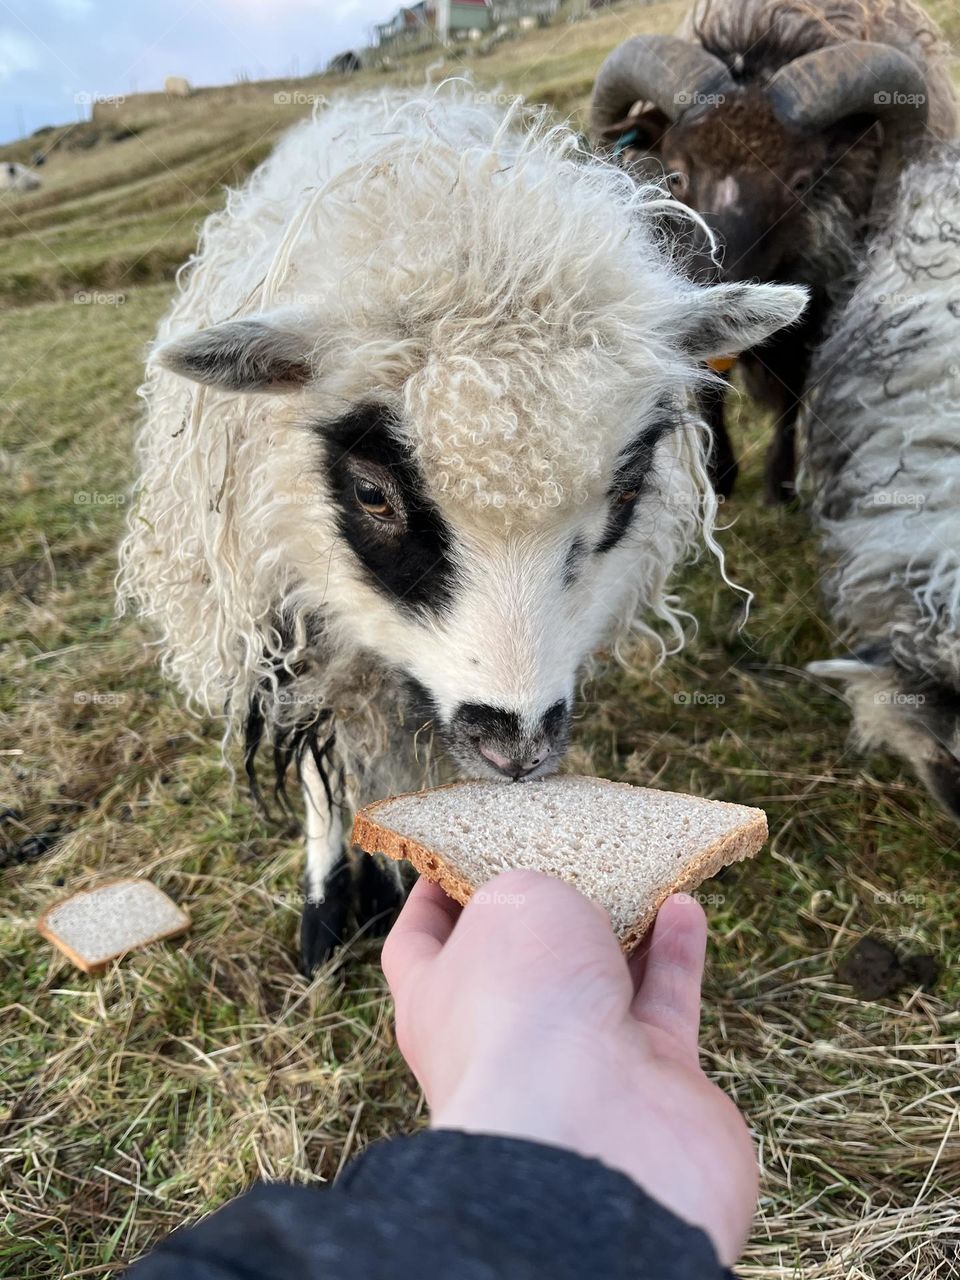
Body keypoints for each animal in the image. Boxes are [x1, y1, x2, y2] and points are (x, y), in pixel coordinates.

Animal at [118, 89, 806, 972]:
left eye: (625, 488)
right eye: (372, 493)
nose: (516, 750)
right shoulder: (290, 618)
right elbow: (326, 767)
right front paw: (327, 907)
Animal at [590, 0, 958, 502]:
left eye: (802, 183)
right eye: (678, 175)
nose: (715, 283)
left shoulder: (822, 301)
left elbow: (792, 390)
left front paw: (780, 483)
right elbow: (708, 383)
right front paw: (719, 476)